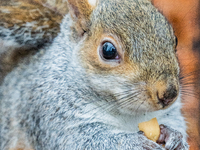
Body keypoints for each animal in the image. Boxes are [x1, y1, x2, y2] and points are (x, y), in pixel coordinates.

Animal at [0, 0, 190, 149]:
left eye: (174, 39)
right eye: (108, 50)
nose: (169, 94)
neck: (130, 114)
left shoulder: (168, 112)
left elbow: (175, 121)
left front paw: (174, 136)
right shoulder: (49, 111)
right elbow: (80, 140)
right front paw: (133, 143)